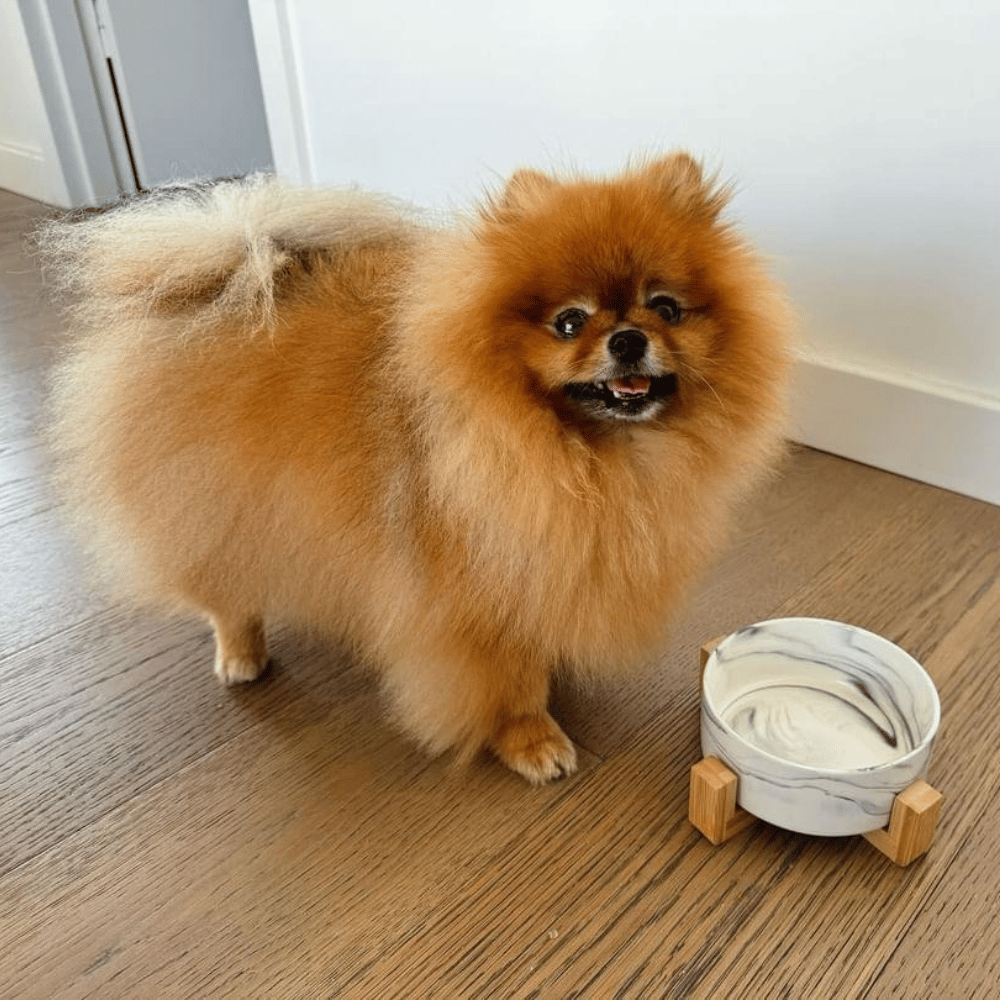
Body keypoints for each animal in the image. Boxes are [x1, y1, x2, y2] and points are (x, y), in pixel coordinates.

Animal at [43, 154, 788, 780]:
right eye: (569, 324)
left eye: (666, 308)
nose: (629, 339)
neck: (583, 455)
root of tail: (225, 268)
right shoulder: (469, 598)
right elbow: (509, 680)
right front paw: (531, 739)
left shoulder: (545, 563)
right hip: (214, 507)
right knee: (227, 593)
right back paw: (241, 654)